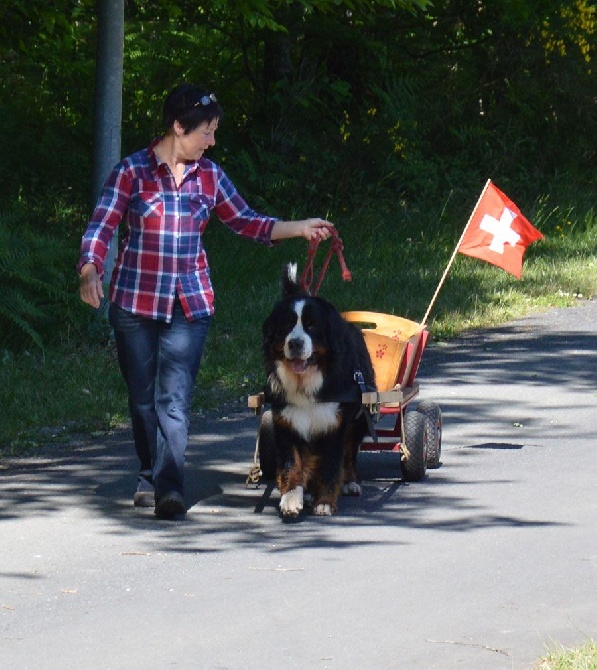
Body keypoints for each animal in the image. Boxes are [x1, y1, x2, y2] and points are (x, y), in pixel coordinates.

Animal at [260, 266, 372, 516]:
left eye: (312, 325)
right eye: (286, 325)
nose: (295, 343)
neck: (305, 385)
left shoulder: (333, 424)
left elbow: (331, 467)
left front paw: (325, 502)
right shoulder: (288, 423)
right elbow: (291, 464)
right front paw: (292, 498)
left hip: (359, 419)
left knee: (349, 453)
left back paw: (350, 482)